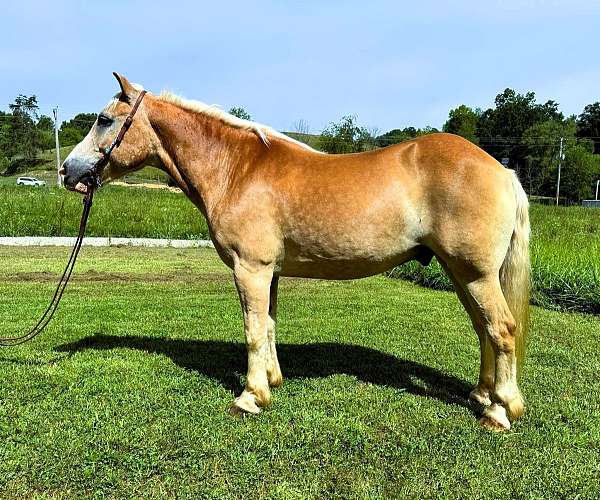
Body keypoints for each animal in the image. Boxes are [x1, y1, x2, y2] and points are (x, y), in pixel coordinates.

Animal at [62, 73, 528, 430]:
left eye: (104, 120)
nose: (68, 171)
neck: (236, 169)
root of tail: (501, 170)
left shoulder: (250, 268)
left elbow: (252, 330)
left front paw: (249, 397)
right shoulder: (270, 272)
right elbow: (267, 326)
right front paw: (271, 381)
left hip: (474, 274)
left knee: (501, 330)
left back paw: (500, 411)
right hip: (460, 273)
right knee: (484, 329)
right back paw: (482, 395)